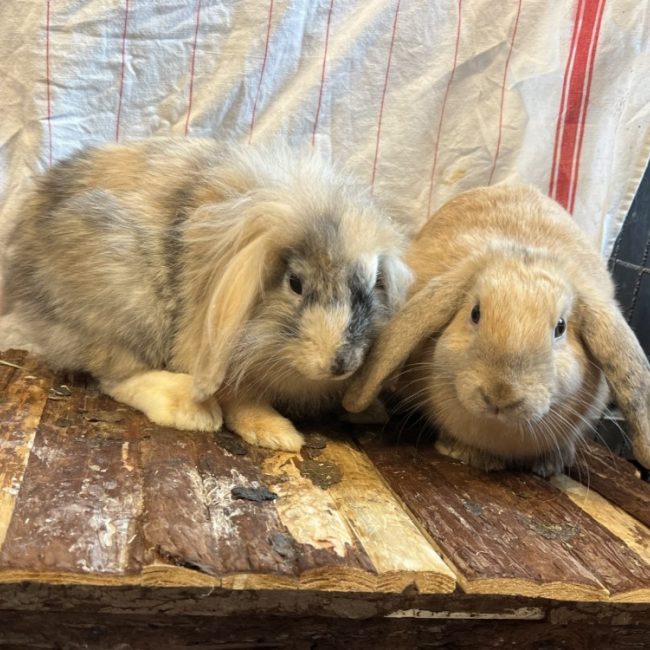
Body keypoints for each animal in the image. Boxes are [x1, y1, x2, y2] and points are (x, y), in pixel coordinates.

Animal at [2, 137, 412, 451]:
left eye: (371, 284)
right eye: (295, 283)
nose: (341, 364)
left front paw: (366, 409)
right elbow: (243, 401)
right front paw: (277, 435)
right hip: (123, 301)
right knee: (117, 376)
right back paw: (190, 409)